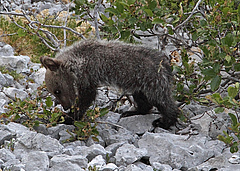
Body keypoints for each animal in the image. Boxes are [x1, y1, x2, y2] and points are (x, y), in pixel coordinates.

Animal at [40, 39, 179, 129]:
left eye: (57, 91)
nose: (65, 107)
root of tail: (166, 64)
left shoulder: (87, 77)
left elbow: (86, 98)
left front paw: (69, 117)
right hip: (139, 83)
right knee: (143, 99)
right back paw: (132, 112)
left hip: (152, 80)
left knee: (161, 100)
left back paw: (164, 121)